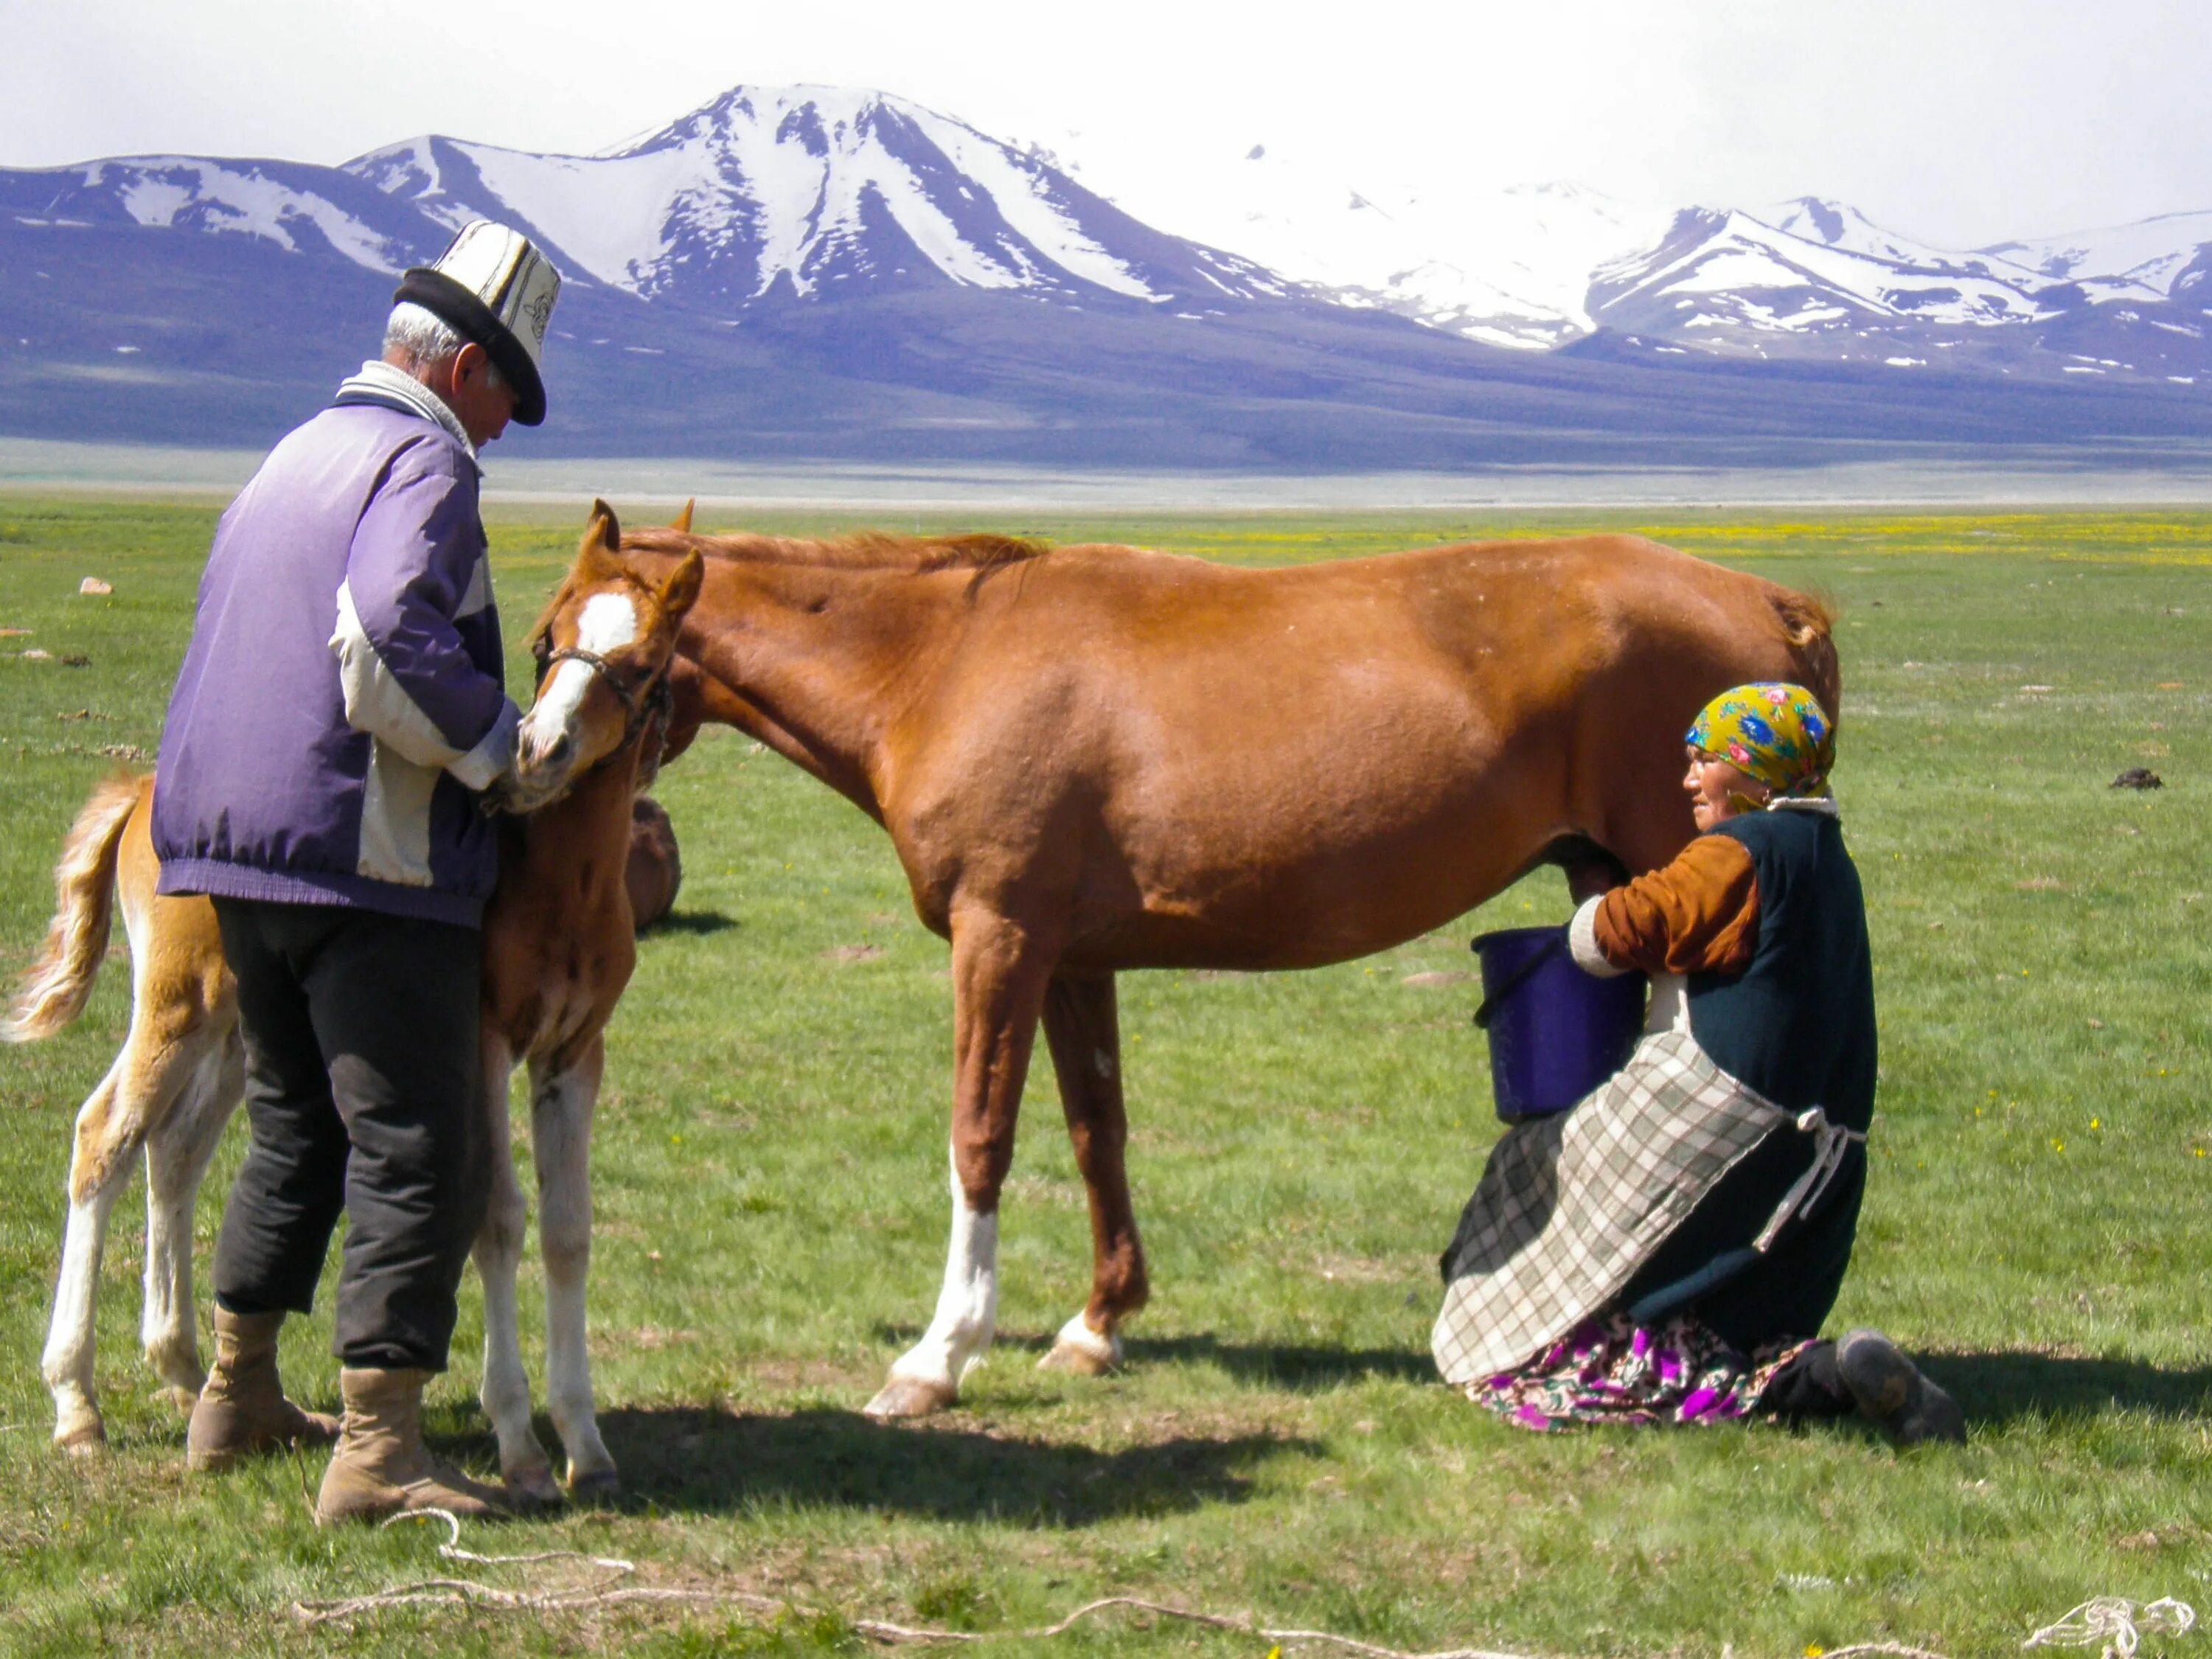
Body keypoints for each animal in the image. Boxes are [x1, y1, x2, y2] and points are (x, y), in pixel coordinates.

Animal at [8, 518, 699, 1504]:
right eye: (545, 639)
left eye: (642, 664)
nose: (537, 753)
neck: (560, 880)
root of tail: (140, 796)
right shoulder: (483, 1039)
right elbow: (497, 1216)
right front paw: (520, 1443)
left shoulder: (575, 1051)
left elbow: (569, 1231)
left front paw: (586, 1442)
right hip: (176, 1007)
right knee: (104, 1135)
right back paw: (77, 1405)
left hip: (239, 1029)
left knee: (173, 1153)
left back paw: (191, 1378)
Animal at [549, 507, 1832, 1416]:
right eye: (549, 631)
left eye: (637, 652)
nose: (540, 755)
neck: (942, 663)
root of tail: (1766, 595)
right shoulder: (1070, 960)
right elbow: (1093, 1131)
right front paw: (1098, 1322)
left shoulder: (999, 937)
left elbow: (980, 1135)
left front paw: (939, 1354)